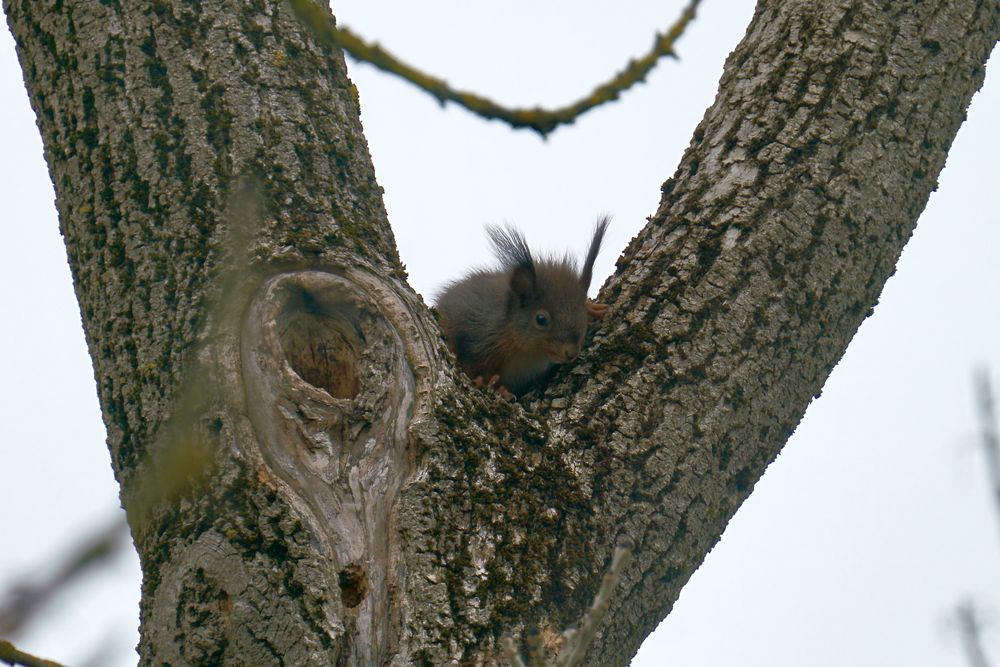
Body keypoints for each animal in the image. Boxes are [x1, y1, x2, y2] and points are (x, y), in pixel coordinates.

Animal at [436, 217, 608, 400]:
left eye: (582, 314)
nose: (571, 353)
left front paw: (592, 308)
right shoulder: (479, 334)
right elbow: (469, 364)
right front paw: (491, 384)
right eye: (541, 319)